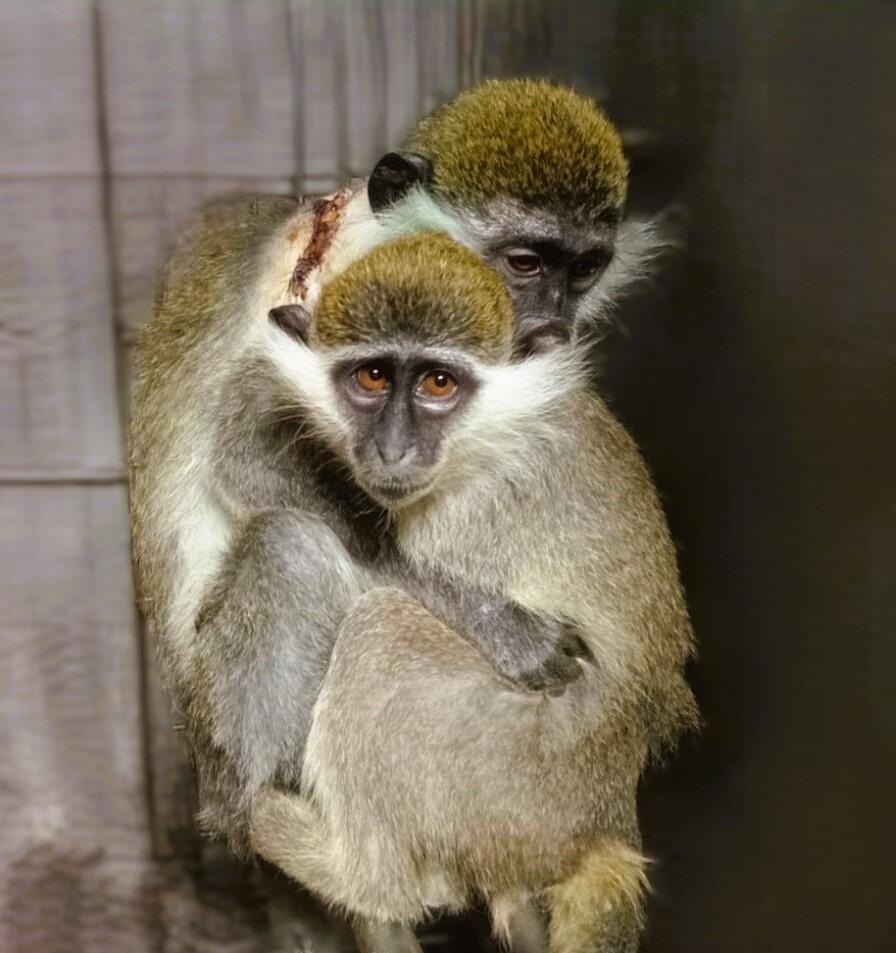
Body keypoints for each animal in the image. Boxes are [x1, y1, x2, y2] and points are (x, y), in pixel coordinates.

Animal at [242, 233, 697, 952]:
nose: (392, 450)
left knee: (381, 625)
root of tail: (601, 822)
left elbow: (391, 569)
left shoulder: (479, 508)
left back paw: (349, 869)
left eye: (438, 382)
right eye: (371, 378)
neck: (488, 430)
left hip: (500, 778)